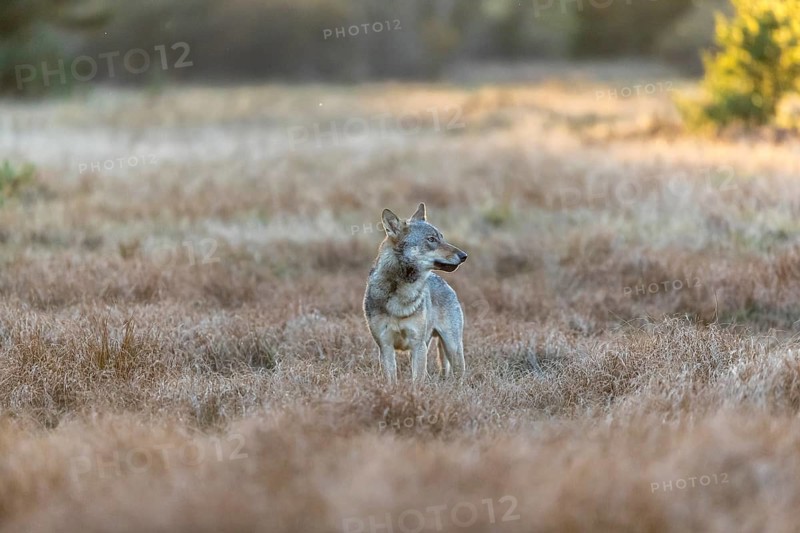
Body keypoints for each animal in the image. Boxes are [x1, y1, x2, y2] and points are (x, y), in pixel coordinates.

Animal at [363, 203, 468, 384]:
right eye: (431, 239)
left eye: (442, 238)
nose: (464, 256)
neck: (401, 296)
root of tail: (444, 282)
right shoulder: (385, 346)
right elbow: (392, 381)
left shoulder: (418, 345)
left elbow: (416, 383)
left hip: (452, 347)